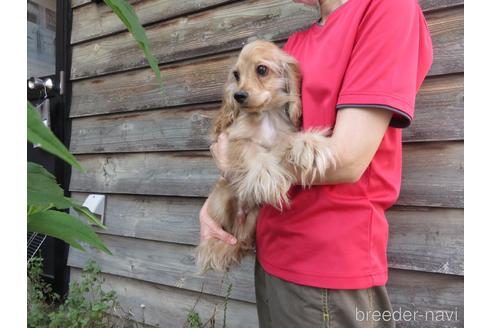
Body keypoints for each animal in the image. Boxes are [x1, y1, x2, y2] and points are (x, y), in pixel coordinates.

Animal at [194, 39, 336, 272]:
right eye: (236, 75)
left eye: (262, 70)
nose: (238, 96)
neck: (266, 116)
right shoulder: (233, 139)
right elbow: (251, 150)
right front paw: (265, 174)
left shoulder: (279, 137)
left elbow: (288, 140)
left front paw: (309, 143)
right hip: (222, 197)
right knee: (218, 238)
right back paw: (213, 246)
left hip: (254, 217)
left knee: (242, 241)